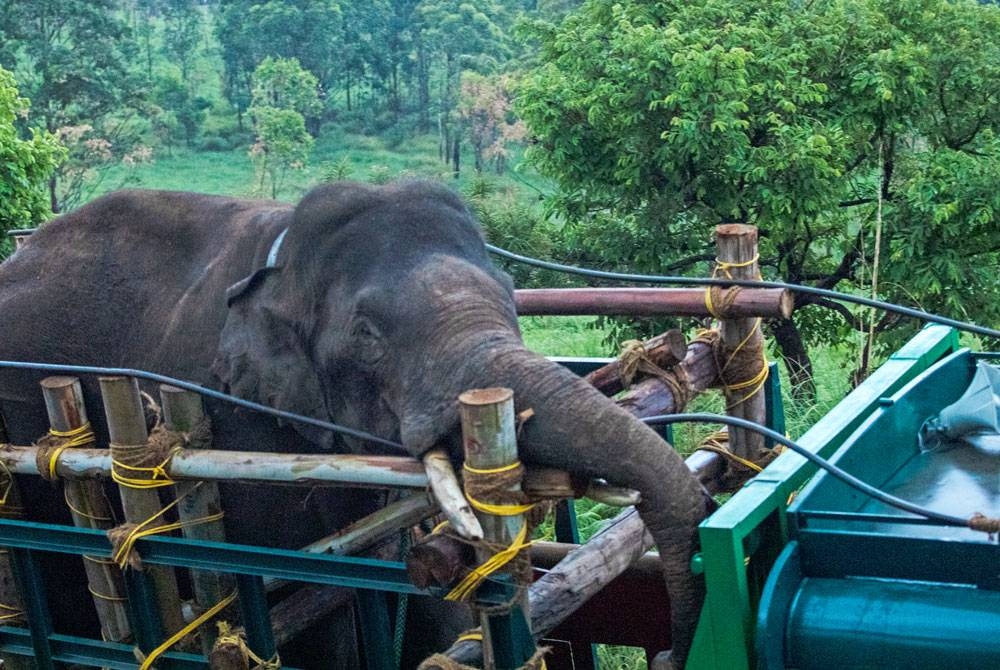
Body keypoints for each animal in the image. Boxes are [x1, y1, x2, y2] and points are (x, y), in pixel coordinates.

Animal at [0, 181, 712, 668]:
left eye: (513, 298)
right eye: (368, 335)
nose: (670, 655)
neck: (281, 254)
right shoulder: (236, 425)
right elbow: (312, 610)